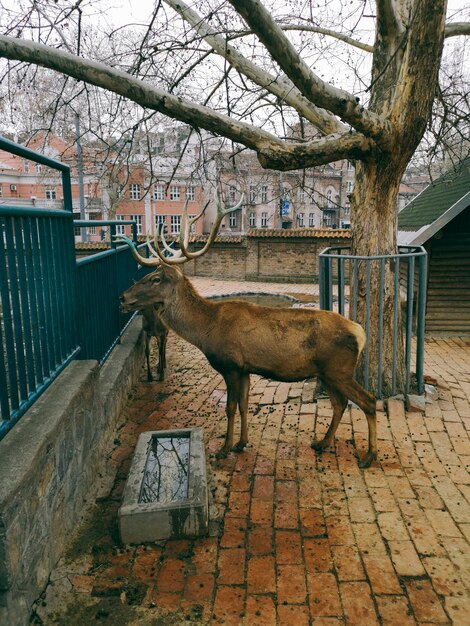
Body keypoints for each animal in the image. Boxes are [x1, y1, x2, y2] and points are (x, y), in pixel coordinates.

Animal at [118, 197, 378, 466]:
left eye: (156, 278)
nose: (123, 297)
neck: (206, 329)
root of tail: (360, 333)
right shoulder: (244, 369)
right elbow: (244, 405)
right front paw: (241, 443)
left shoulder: (231, 365)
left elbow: (230, 407)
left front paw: (224, 448)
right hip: (327, 373)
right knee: (340, 404)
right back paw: (322, 443)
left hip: (339, 370)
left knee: (368, 401)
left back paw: (369, 455)